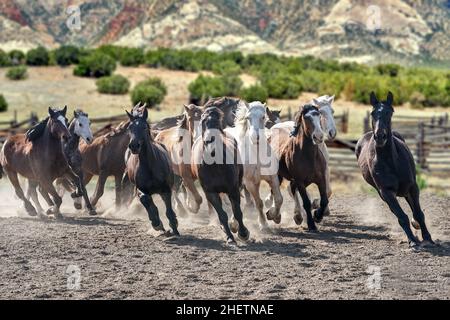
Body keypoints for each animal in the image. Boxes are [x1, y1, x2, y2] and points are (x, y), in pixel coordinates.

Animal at [125, 107, 179, 235]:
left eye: (144, 127)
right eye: (129, 127)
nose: (134, 146)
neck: (149, 167)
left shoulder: (166, 189)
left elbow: (169, 211)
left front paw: (174, 229)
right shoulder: (140, 189)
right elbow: (146, 200)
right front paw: (157, 224)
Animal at [224, 101, 282, 231]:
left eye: (263, 117)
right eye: (248, 118)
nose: (255, 137)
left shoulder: (272, 178)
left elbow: (278, 199)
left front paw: (274, 216)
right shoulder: (250, 183)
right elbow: (259, 203)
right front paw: (264, 224)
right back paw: (234, 223)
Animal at [356, 91, 434, 249]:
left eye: (389, 112)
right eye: (373, 113)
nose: (380, 136)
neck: (392, 162)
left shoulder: (413, 186)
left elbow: (418, 213)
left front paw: (428, 238)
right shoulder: (386, 192)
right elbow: (401, 216)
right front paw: (412, 241)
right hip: (383, 193)